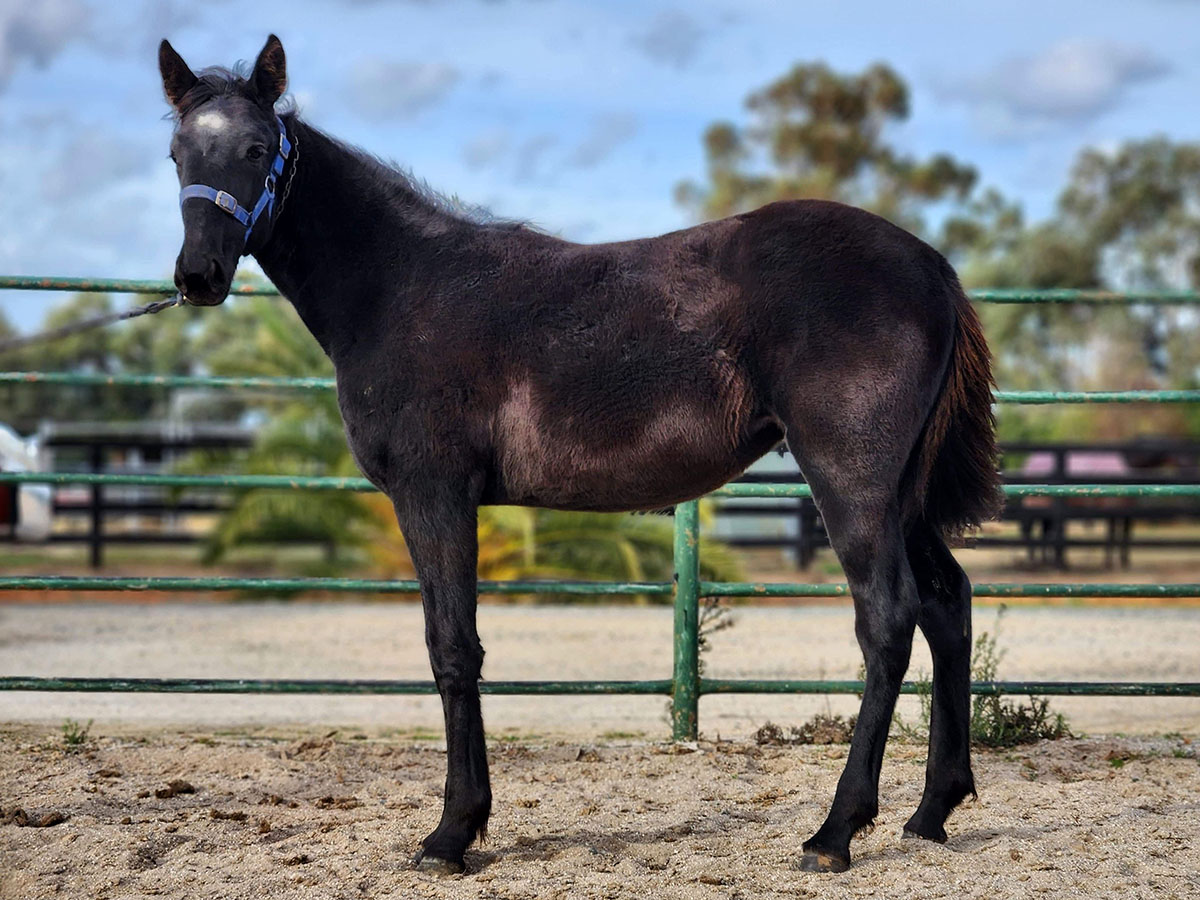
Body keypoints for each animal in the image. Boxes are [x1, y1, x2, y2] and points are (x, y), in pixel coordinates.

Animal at [158, 34, 1000, 874]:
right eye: (176, 153)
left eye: (257, 147)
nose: (197, 276)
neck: (401, 289)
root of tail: (929, 265)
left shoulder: (434, 493)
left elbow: (451, 648)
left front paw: (452, 832)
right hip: (901, 496)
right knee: (947, 603)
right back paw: (931, 811)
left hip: (852, 482)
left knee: (888, 619)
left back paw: (835, 832)